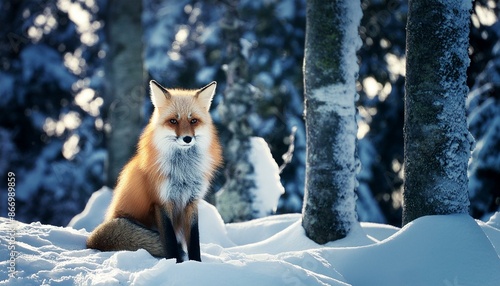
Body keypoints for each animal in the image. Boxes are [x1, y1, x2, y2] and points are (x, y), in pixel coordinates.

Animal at [86, 80, 223, 262]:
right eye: (173, 121)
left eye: (193, 120)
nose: (187, 138)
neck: (183, 173)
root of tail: (91, 242)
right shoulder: (161, 201)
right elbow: (170, 241)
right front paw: (175, 263)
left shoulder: (191, 202)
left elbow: (194, 241)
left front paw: (196, 265)